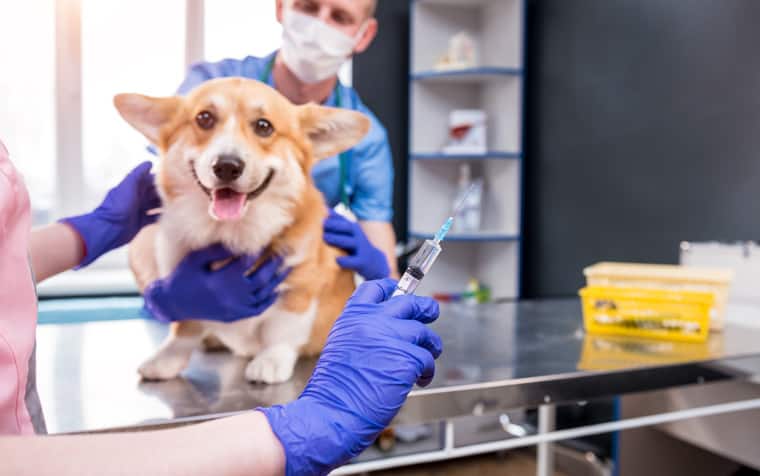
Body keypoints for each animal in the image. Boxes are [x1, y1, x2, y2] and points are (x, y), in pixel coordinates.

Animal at [113, 78, 372, 384]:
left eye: (263, 126)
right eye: (204, 118)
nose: (227, 166)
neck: (232, 233)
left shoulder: (301, 283)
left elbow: (282, 328)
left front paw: (271, 361)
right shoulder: (182, 284)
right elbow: (184, 325)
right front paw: (167, 359)